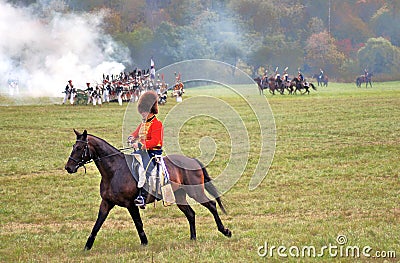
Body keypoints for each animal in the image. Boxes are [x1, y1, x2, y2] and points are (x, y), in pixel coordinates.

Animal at [65, 130, 231, 252]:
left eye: (79, 148)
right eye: (73, 147)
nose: (68, 167)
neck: (115, 170)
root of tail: (192, 160)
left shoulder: (131, 204)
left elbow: (138, 223)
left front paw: (144, 243)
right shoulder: (106, 203)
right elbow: (97, 224)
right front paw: (87, 246)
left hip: (195, 192)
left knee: (211, 205)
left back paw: (224, 231)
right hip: (180, 196)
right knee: (190, 213)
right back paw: (193, 238)